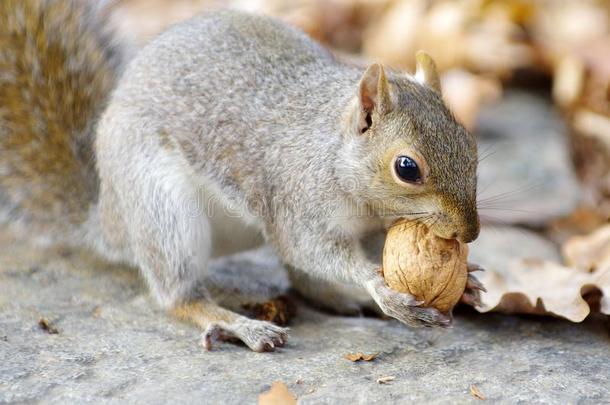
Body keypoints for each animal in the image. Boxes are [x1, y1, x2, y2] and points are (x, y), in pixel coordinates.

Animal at [2, 0, 482, 350]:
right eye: (407, 168)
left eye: (471, 144)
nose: (470, 233)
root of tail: (107, 218)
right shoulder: (297, 201)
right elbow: (312, 250)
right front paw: (379, 286)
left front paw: (466, 285)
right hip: (162, 208)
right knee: (179, 296)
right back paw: (238, 324)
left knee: (303, 282)